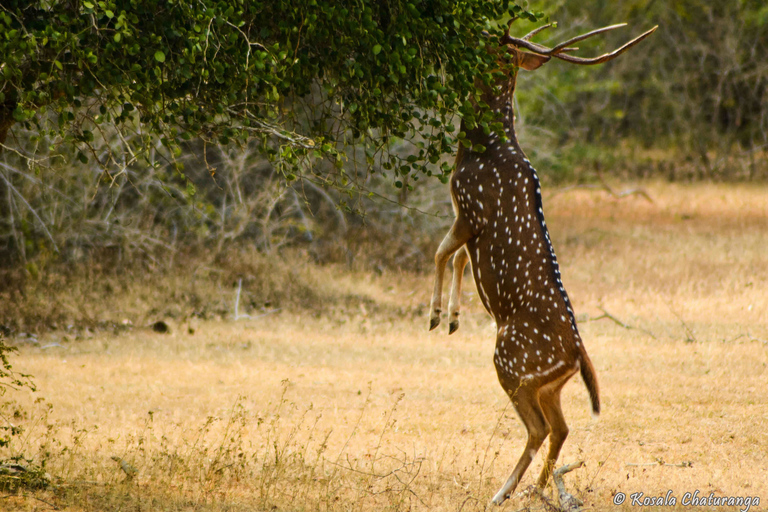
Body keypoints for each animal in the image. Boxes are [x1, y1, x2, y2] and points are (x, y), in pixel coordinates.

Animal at [428, 22, 656, 506]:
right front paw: (453, 317)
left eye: (493, 42)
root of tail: (576, 357)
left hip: (510, 363)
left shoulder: (469, 209)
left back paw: (502, 493)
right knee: (561, 427)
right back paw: (536, 489)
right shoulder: (466, 222)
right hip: (548, 383)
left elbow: (441, 252)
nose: (471, 33)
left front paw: (436, 316)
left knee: (537, 428)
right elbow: (455, 258)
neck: (477, 151)